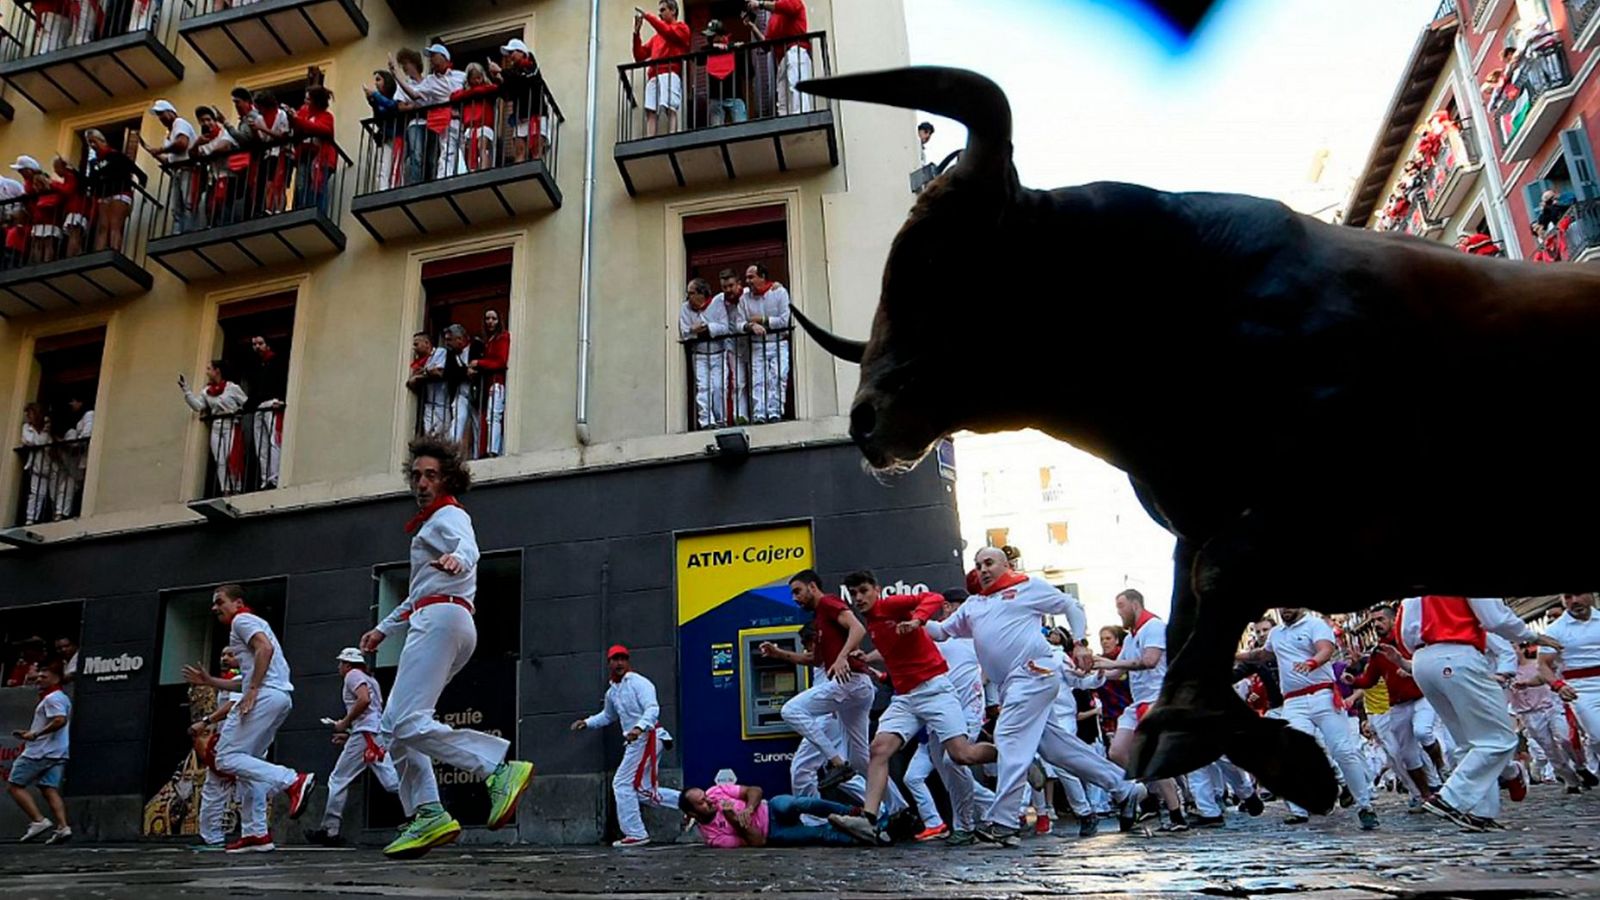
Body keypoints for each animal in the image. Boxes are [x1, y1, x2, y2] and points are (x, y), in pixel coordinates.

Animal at [800, 66, 1600, 810]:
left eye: (935, 257)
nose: (866, 417)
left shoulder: (1352, 508)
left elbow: (1219, 584)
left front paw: (1203, 731)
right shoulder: (1210, 530)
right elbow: (1192, 619)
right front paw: (1272, 753)